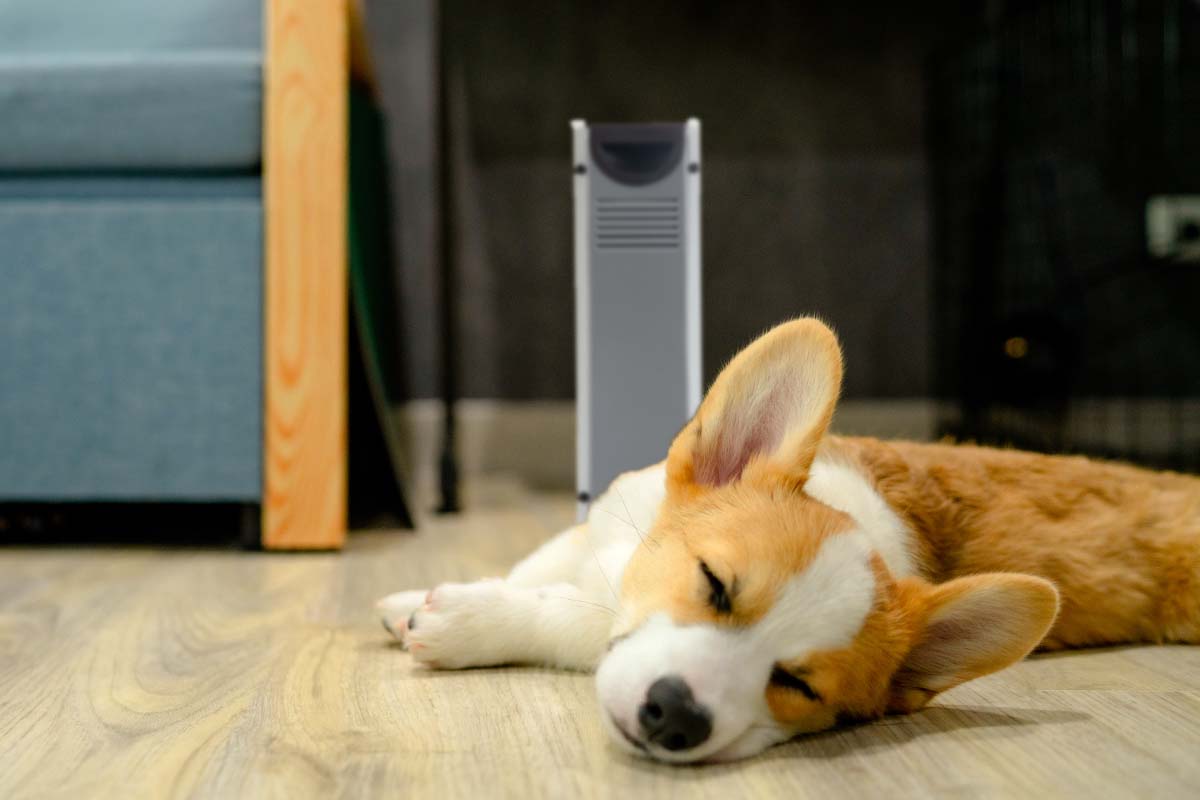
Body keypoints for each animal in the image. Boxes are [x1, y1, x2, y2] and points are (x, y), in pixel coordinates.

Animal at [376, 316, 1200, 762]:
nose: (677, 718)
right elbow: (532, 567)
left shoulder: (596, 611)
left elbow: (564, 614)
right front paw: (410, 599)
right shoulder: (594, 528)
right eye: (713, 582)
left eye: (798, 686)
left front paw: (461, 620)